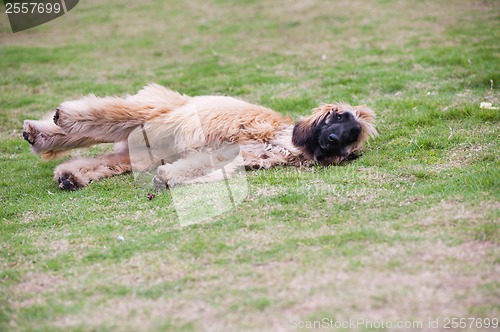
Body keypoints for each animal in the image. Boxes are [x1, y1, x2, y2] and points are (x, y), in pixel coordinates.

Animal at [21, 84, 376, 191]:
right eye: (340, 118)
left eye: (351, 138)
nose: (333, 141)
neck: (282, 139)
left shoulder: (236, 154)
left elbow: (201, 165)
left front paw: (166, 178)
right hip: (158, 113)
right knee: (105, 116)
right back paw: (51, 126)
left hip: (135, 151)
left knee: (105, 160)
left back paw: (69, 175)